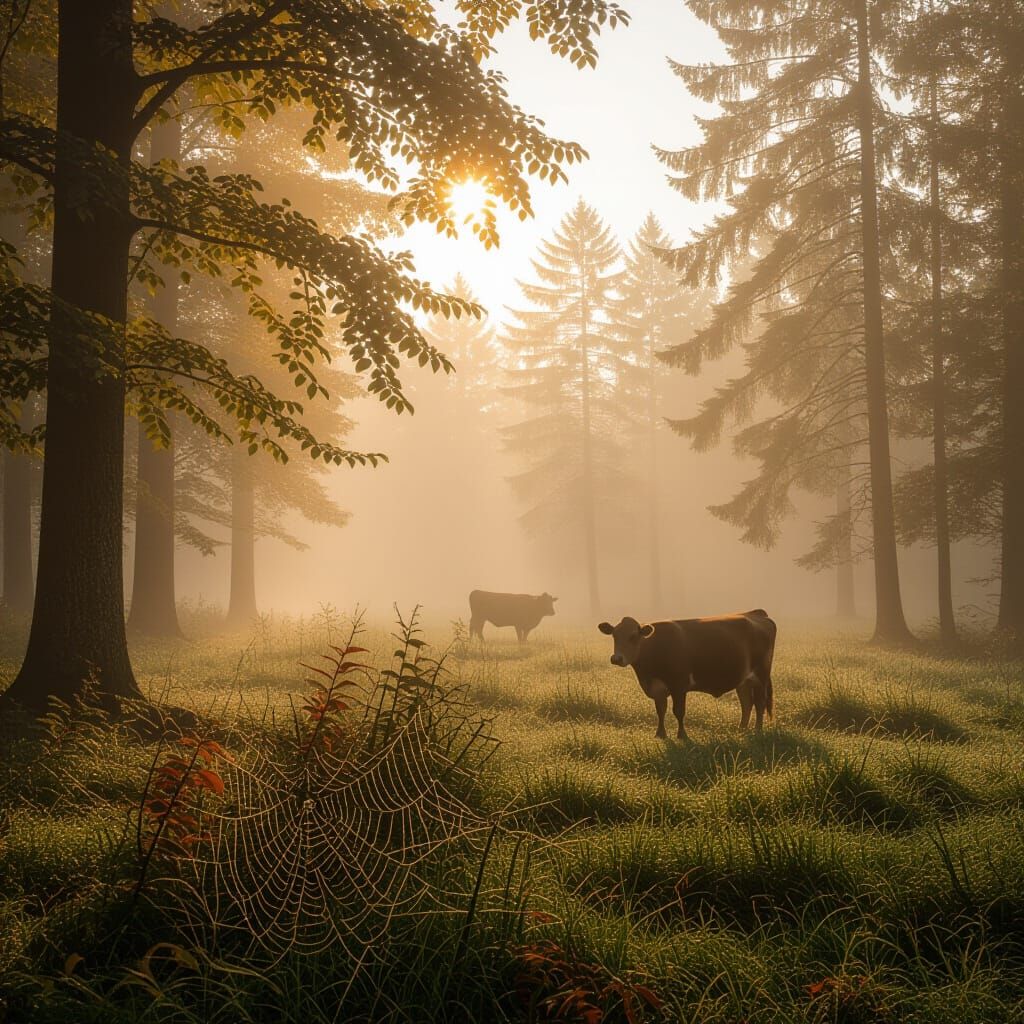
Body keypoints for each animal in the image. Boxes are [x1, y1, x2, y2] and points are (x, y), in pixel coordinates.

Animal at [597, 609, 776, 739]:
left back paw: (758, 731)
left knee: (759, 703)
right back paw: (741, 730)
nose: (616, 658)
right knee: (747, 703)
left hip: (761, 676)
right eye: (614, 635)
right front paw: (660, 734)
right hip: (743, 680)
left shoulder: (679, 685)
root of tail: (757, 613)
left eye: (633, 636)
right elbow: (660, 710)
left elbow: (678, 711)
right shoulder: (657, 688)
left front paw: (682, 735)